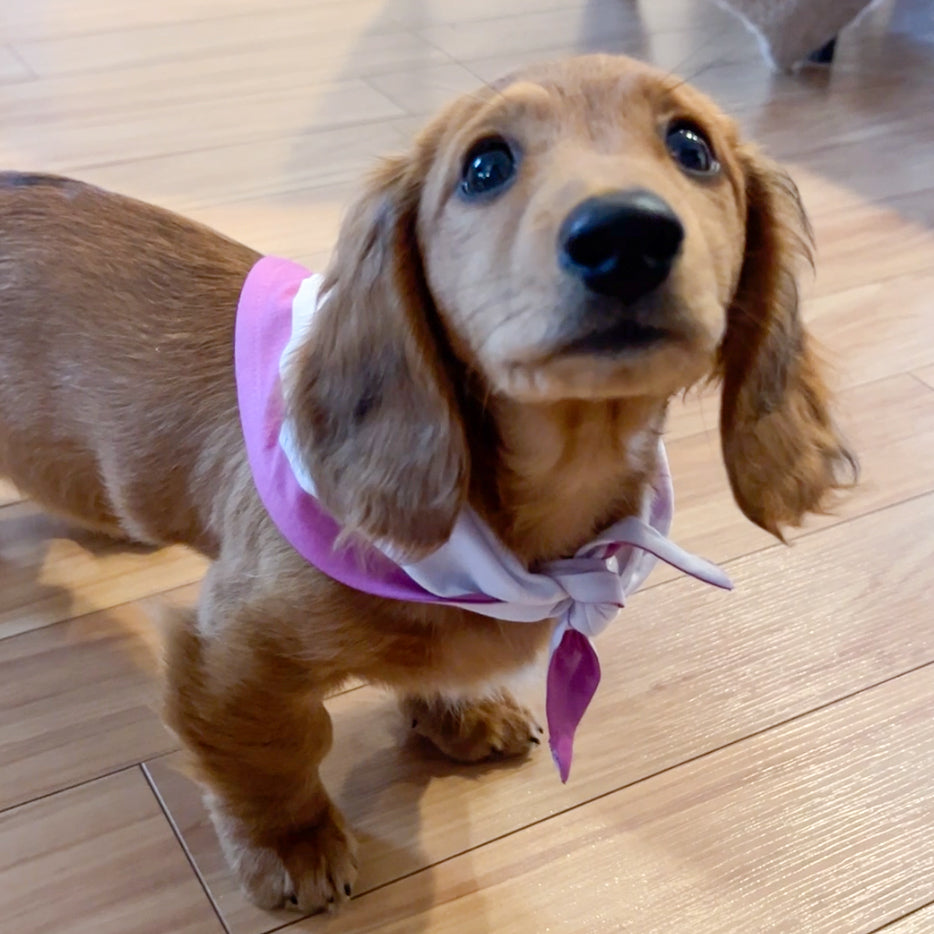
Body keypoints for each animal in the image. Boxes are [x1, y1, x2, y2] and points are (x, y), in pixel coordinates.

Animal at [0, 53, 856, 916]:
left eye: (692, 147)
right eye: (484, 166)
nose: (626, 238)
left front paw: (457, 714)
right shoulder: (233, 651)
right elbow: (274, 749)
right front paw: (294, 845)